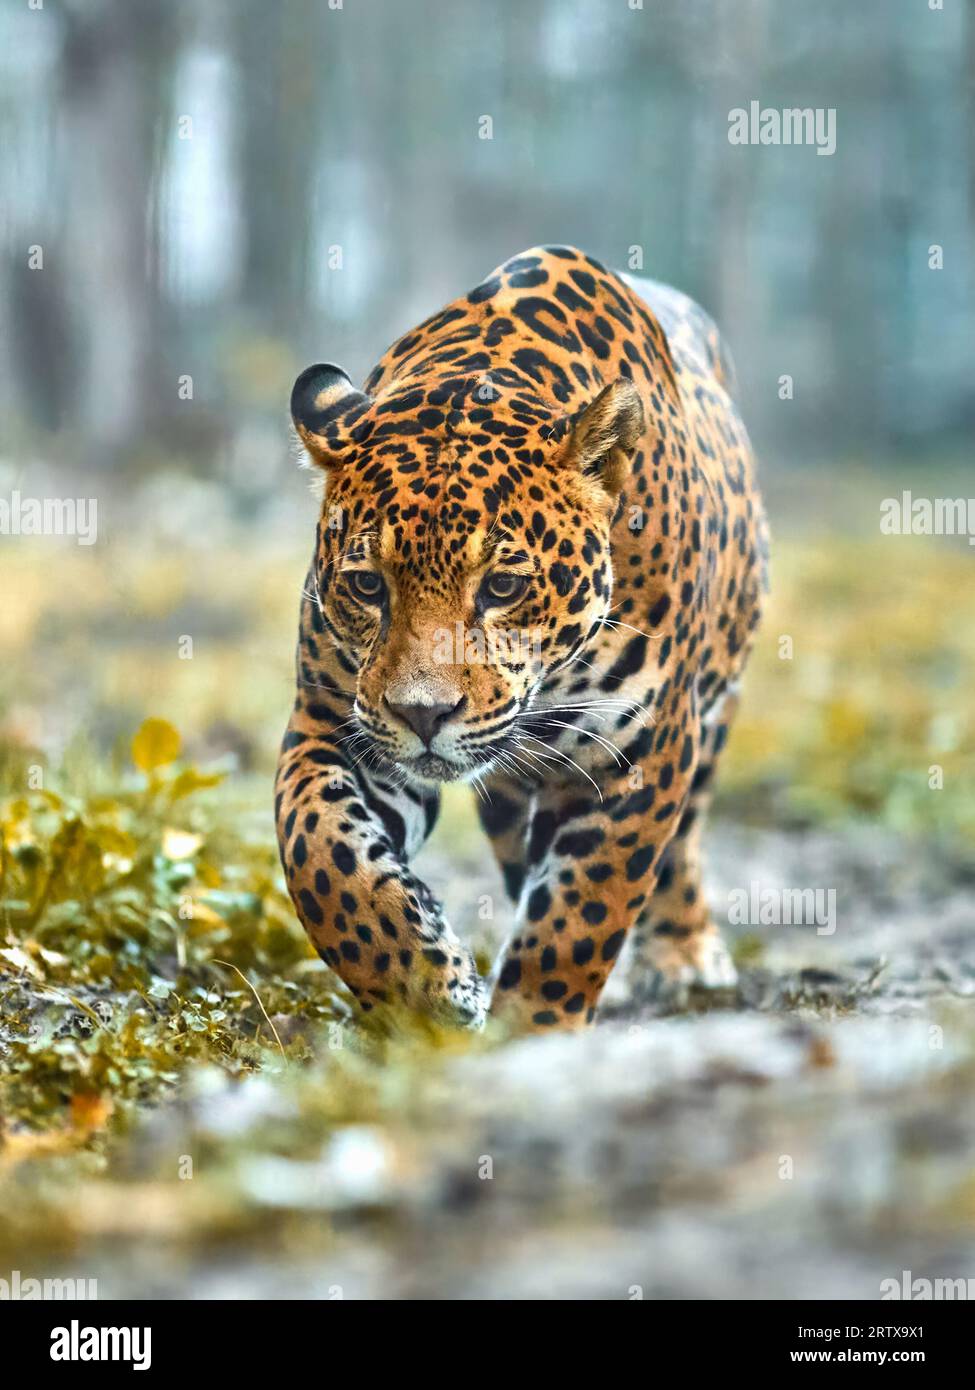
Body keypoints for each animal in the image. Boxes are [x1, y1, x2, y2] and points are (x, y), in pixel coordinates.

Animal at [275, 245, 768, 1034]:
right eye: (369, 586)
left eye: (503, 587)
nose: (422, 715)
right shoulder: (333, 724)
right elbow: (323, 860)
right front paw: (432, 996)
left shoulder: (639, 747)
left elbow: (582, 910)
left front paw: (534, 1030)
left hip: (711, 716)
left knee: (683, 839)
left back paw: (682, 956)